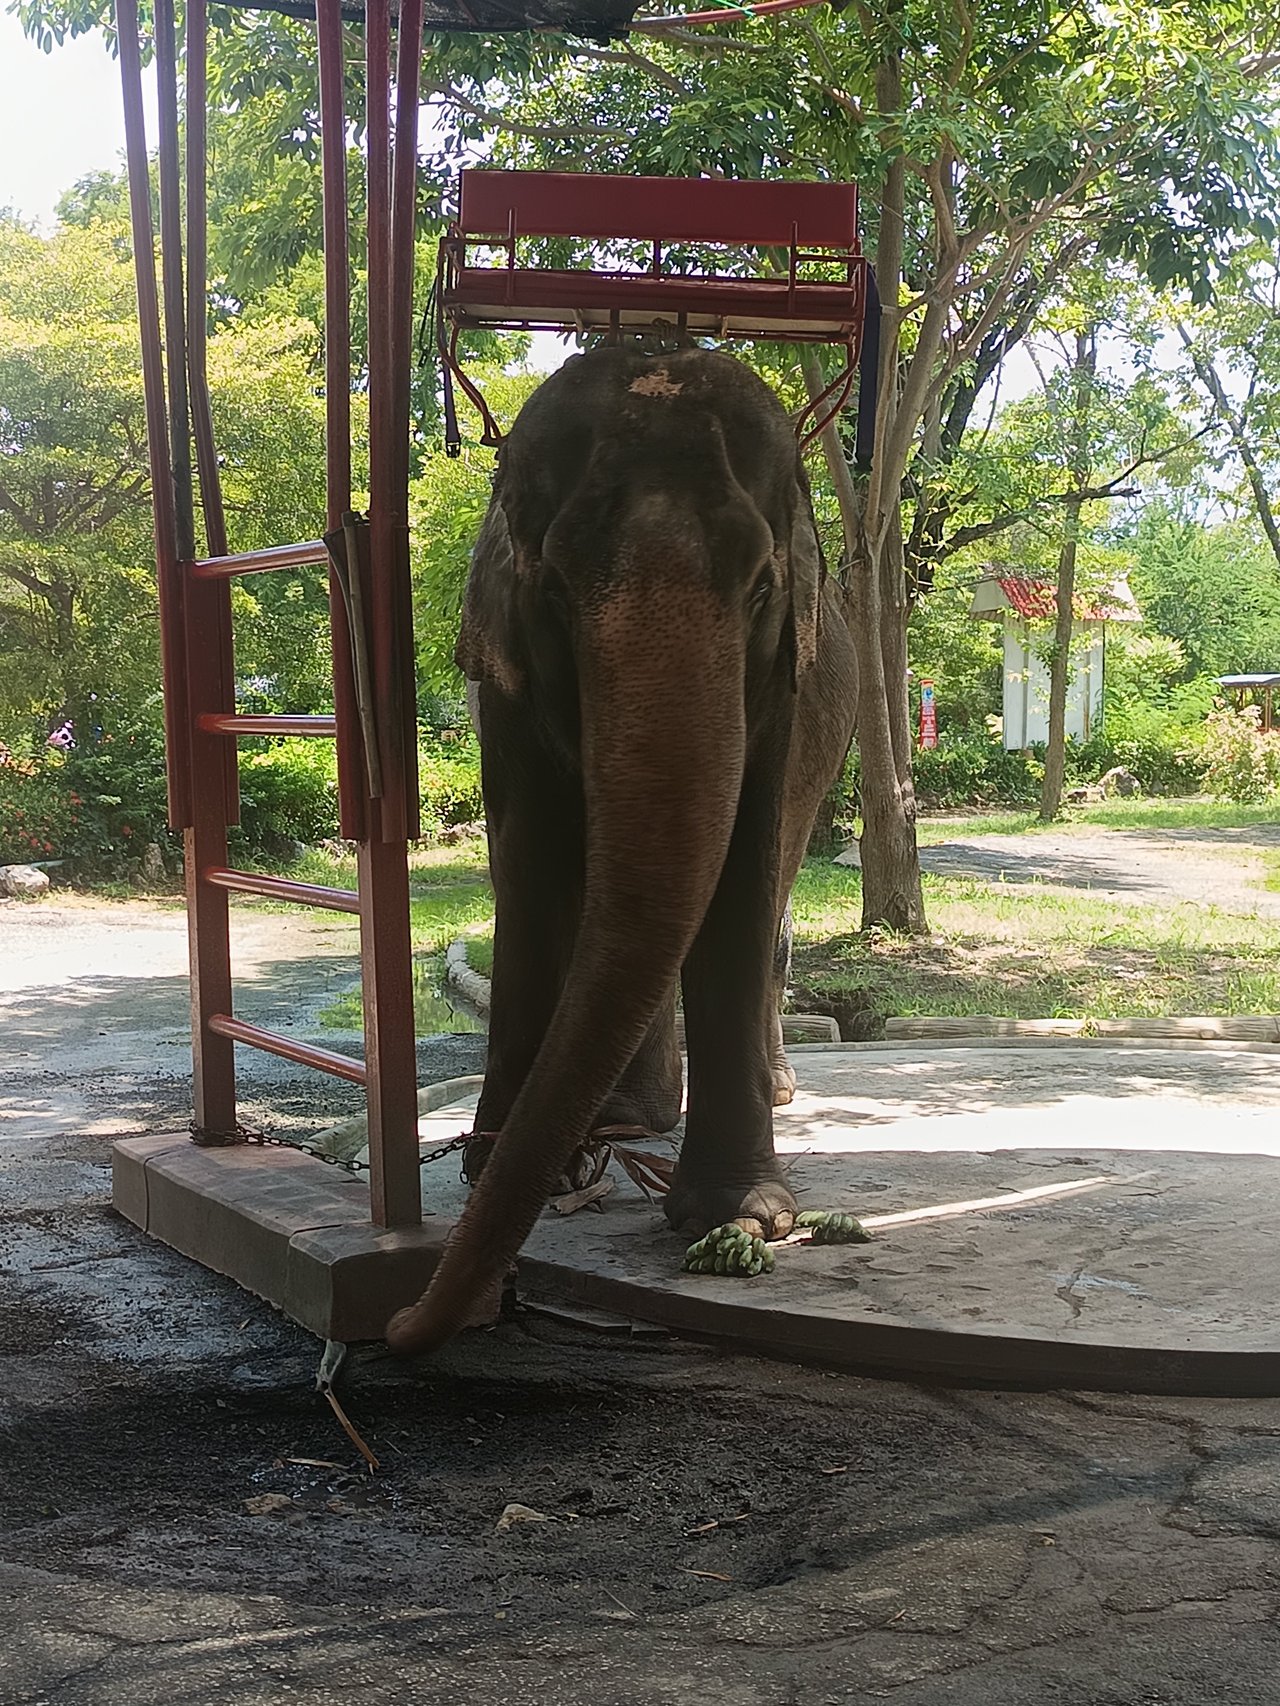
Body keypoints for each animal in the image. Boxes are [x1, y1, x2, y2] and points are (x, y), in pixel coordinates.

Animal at [387, 345, 857, 1356]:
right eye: (556, 589)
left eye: (762, 586)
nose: (405, 1321)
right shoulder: (503, 687)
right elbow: (529, 864)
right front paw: (496, 1168)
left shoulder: (783, 694)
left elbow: (742, 866)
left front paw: (745, 1217)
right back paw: (628, 1123)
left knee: (776, 884)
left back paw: (759, 1095)